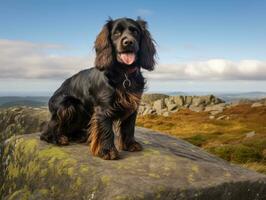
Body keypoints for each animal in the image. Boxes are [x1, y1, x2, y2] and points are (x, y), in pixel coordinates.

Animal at [39, 18, 156, 160]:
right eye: (116, 33)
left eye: (135, 32)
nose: (128, 42)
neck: (123, 73)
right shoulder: (103, 107)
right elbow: (106, 129)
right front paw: (107, 151)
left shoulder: (133, 105)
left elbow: (129, 127)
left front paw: (130, 144)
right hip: (68, 105)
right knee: (48, 129)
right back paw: (58, 138)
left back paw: (80, 136)